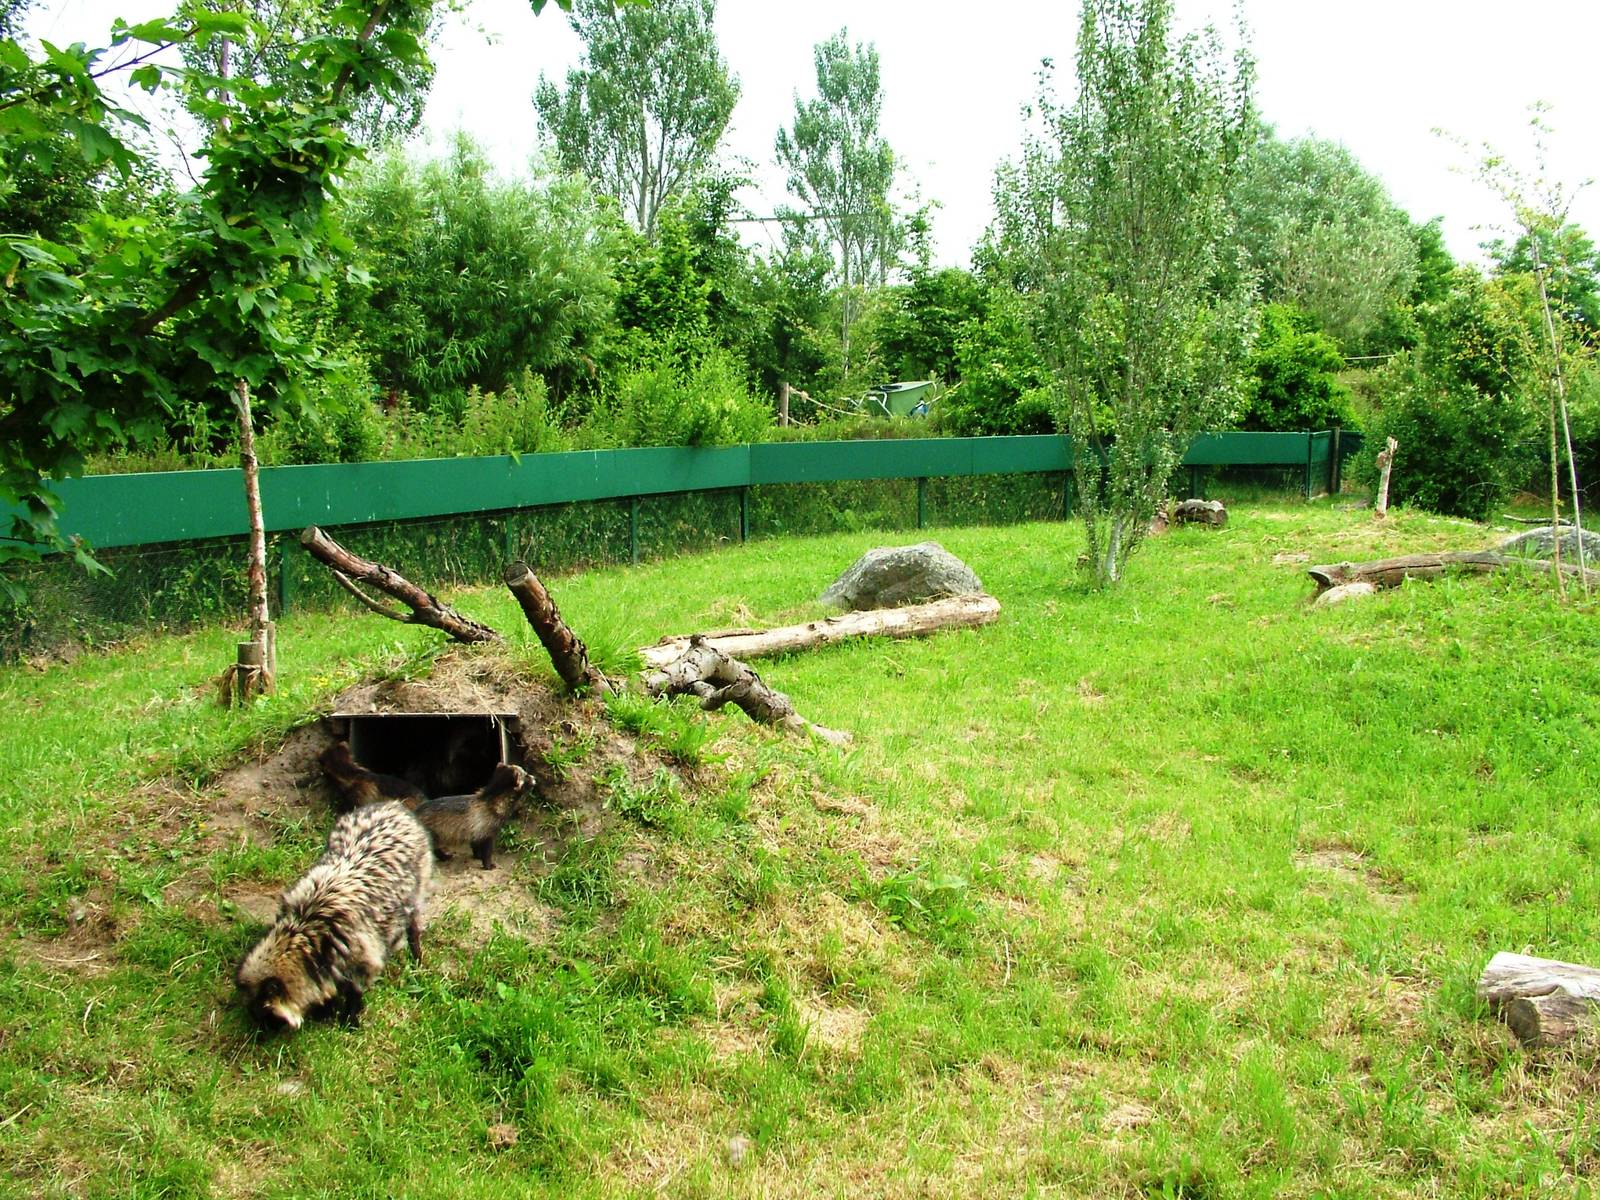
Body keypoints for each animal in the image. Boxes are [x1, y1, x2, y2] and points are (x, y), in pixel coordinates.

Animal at [236, 801, 431, 1033]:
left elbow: (355, 992)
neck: (306, 929)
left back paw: (417, 960)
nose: (262, 1037)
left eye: (268, 1018)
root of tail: (393, 806)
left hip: (416, 900)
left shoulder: (364, 960)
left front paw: (349, 1020)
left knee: (414, 931)